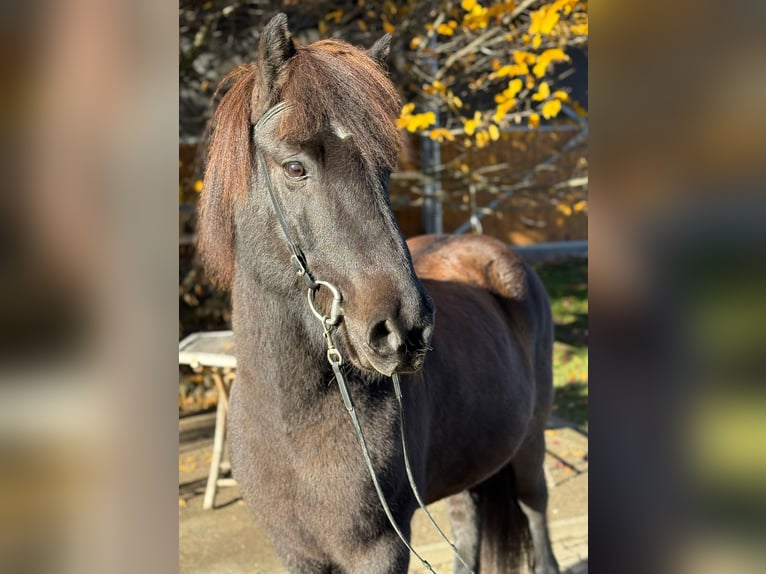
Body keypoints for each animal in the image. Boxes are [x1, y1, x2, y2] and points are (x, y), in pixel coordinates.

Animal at [198, 13, 559, 574]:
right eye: (295, 167)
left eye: (385, 171)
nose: (404, 331)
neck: (290, 420)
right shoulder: (295, 551)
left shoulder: (381, 548)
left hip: (530, 448)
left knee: (536, 514)